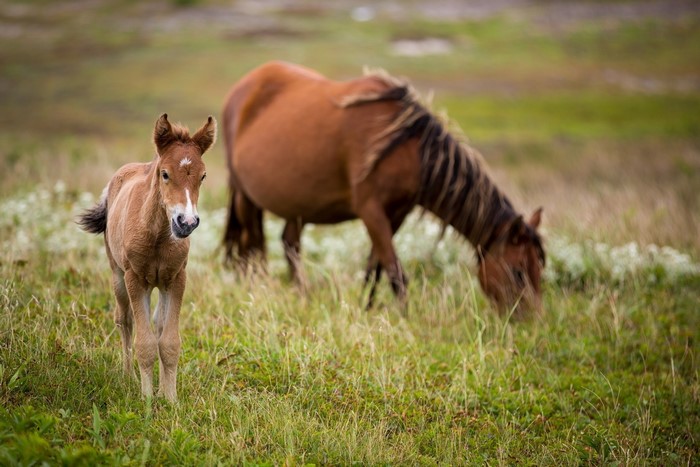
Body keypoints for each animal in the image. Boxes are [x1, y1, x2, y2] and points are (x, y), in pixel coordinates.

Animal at [78, 114, 216, 401]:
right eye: (165, 174)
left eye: (203, 176)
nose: (186, 222)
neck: (158, 236)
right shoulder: (135, 279)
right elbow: (145, 343)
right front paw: (147, 399)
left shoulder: (176, 278)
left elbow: (168, 341)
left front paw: (170, 398)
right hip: (118, 275)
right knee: (125, 320)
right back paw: (128, 377)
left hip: (158, 284)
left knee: (158, 324)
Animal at [222, 61, 545, 311]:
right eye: (518, 272)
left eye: (539, 270)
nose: (531, 323)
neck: (408, 148)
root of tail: (241, 88)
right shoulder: (371, 211)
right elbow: (394, 271)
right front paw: (405, 318)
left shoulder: (396, 214)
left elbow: (374, 268)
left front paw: (367, 308)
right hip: (245, 196)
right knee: (251, 246)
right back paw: (257, 288)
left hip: (297, 206)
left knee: (289, 245)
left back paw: (303, 295)